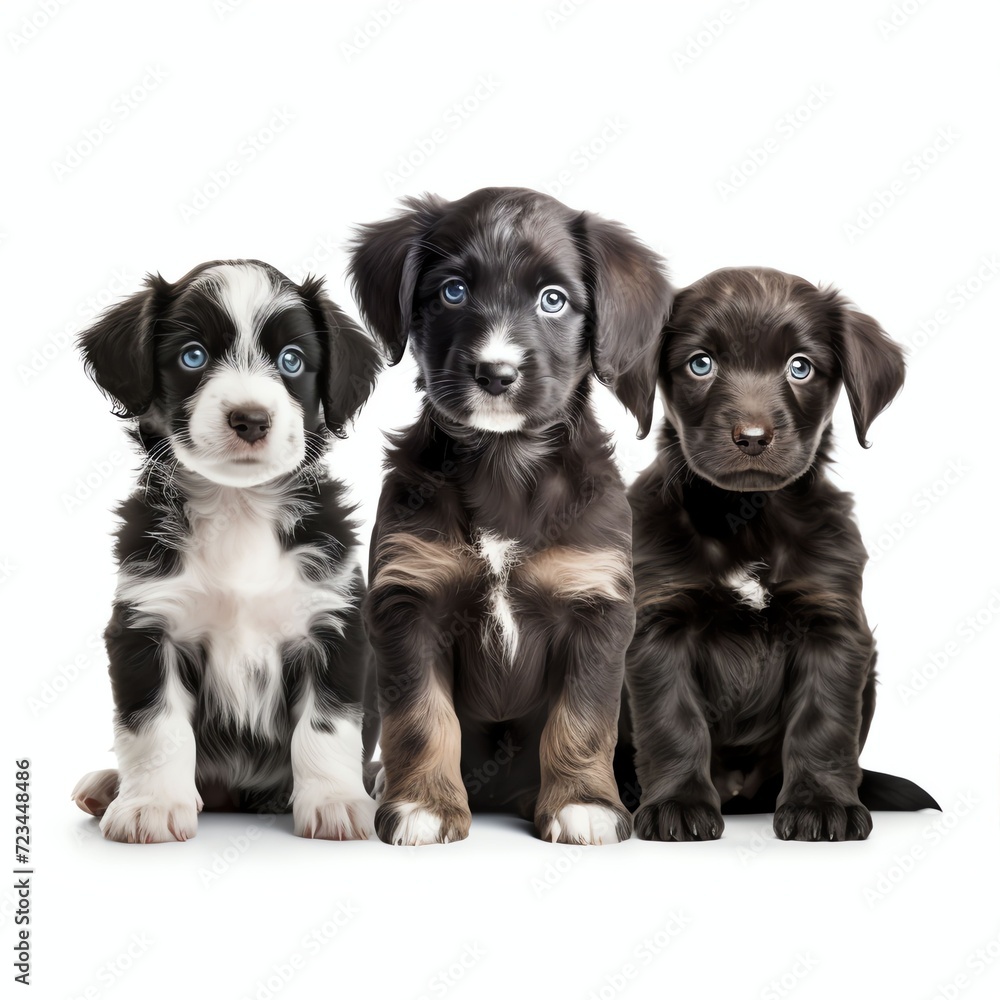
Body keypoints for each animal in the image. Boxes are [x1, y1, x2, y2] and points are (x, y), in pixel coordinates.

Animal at [71, 260, 382, 844]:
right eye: (193, 356)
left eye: (292, 360)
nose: (251, 419)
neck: (239, 508)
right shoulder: (147, 623)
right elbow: (154, 725)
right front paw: (151, 804)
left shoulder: (332, 622)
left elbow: (327, 726)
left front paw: (335, 800)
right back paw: (109, 785)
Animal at [350, 186, 672, 844]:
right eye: (453, 291)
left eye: (554, 299)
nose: (495, 374)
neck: (504, 464)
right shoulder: (410, 600)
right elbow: (420, 717)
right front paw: (423, 803)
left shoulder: (596, 605)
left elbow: (582, 718)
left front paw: (583, 804)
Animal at [624, 262, 936, 840]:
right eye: (701, 364)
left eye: (800, 367)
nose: (752, 437)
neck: (748, 516)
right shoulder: (659, 626)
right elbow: (673, 721)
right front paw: (677, 803)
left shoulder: (830, 624)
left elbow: (822, 723)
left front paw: (822, 804)